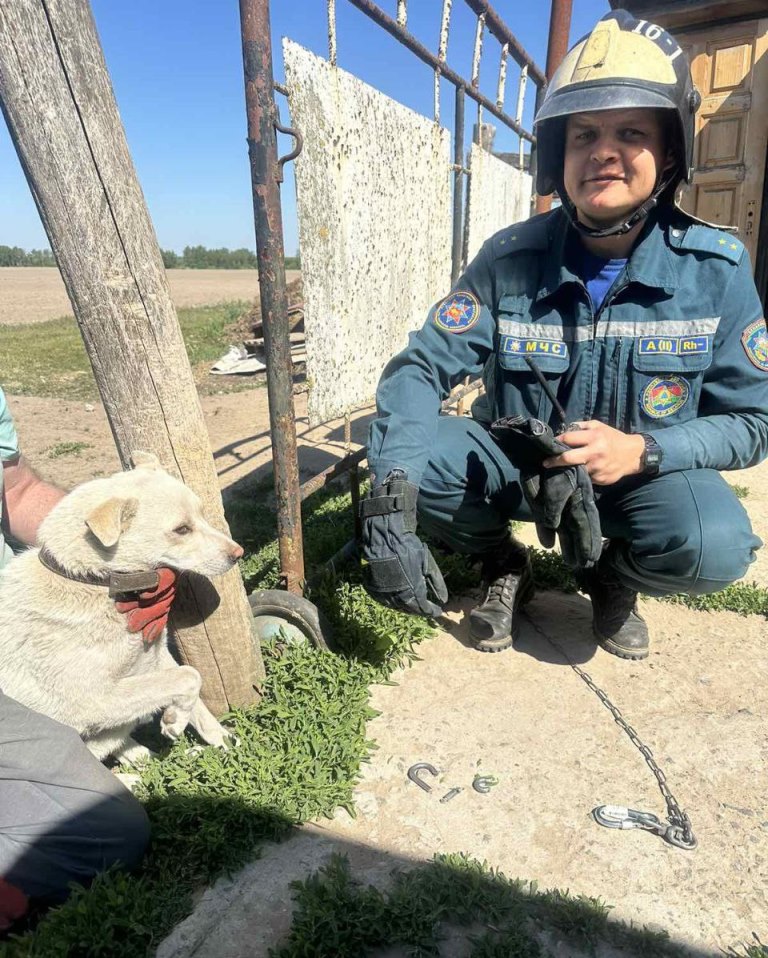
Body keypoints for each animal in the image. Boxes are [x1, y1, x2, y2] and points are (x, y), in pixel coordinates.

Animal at [0, 456, 243, 764]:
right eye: (181, 530)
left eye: (201, 513)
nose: (238, 554)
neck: (92, 582)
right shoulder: (94, 699)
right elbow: (188, 675)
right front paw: (175, 720)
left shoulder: (153, 655)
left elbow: (193, 688)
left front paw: (220, 739)